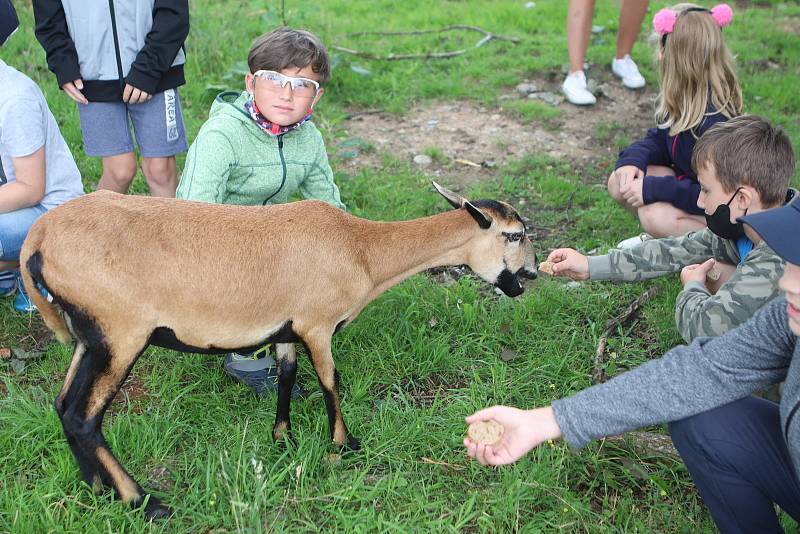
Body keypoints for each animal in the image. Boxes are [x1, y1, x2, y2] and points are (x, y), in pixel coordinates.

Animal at [20, 183, 536, 520]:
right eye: (514, 235)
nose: (529, 276)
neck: (365, 251)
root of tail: (37, 237)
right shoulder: (318, 324)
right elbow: (330, 381)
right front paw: (344, 445)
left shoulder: (287, 327)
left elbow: (287, 376)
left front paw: (282, 437)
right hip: (119, 331)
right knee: (85, 417)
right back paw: (142, 502)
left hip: (88, 336)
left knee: (64, 407)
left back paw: (96, 490)